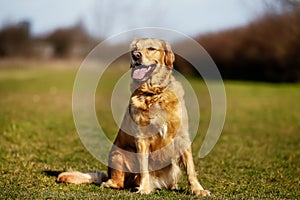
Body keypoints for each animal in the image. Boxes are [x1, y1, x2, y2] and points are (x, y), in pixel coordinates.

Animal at [57, 38, 210, 196]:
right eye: (134, 50)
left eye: (151, 48)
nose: (136, 55)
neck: (153, 93)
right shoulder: (141, 138)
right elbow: (143, 168)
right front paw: (144, 189)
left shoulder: (182, 136)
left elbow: (190, 168)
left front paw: (198, 190)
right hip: (118, 155)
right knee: (117, 182)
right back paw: (118, 184)